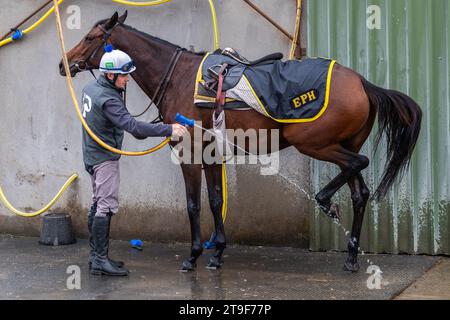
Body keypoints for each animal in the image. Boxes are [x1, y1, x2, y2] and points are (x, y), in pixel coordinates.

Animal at [59, 12, 422, 272]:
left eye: (91, 37)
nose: (64, 63)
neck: (179, 77)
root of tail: (361, 82)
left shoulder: (189, 154)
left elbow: (194, 205)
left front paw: (194, 255)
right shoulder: (211, 153)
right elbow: (216, 200)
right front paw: (217, 251)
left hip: (316, 144)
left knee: (357, 166)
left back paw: (325, 201)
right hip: (344, 144)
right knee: (360, 192)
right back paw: (351, 257)